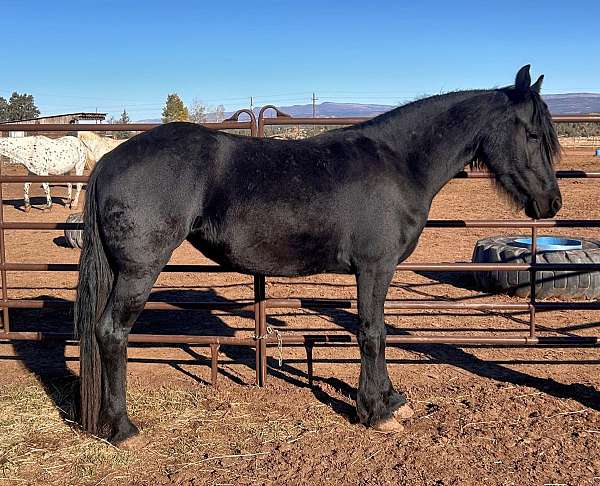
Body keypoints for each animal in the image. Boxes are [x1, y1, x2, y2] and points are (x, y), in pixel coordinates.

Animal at [75, 66, 564, 446]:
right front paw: (376, 412)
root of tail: (109, 161)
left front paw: (392, 401)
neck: (399, 162)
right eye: (533, 134)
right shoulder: (374, 269)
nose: (552, 204)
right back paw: (122, 428)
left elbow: (379, 332)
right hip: (139, 271)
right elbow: (371, 334)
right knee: (111, 333)